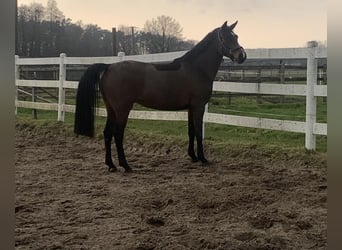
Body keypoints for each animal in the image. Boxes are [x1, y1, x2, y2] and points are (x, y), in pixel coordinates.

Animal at [74, 20, 246, 172]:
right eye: (225, 37)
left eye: (236, 36)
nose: (242, 55)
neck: (197, 69)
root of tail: (109, 67)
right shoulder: (198, 106)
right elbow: (198, 132)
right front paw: (203, 159)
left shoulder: (190, 108)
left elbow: (190, 131)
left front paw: (193, 156)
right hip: (122, 109)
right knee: (118, 134)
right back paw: (125, 165)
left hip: (111, 109)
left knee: (107, 133)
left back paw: (111, 165)